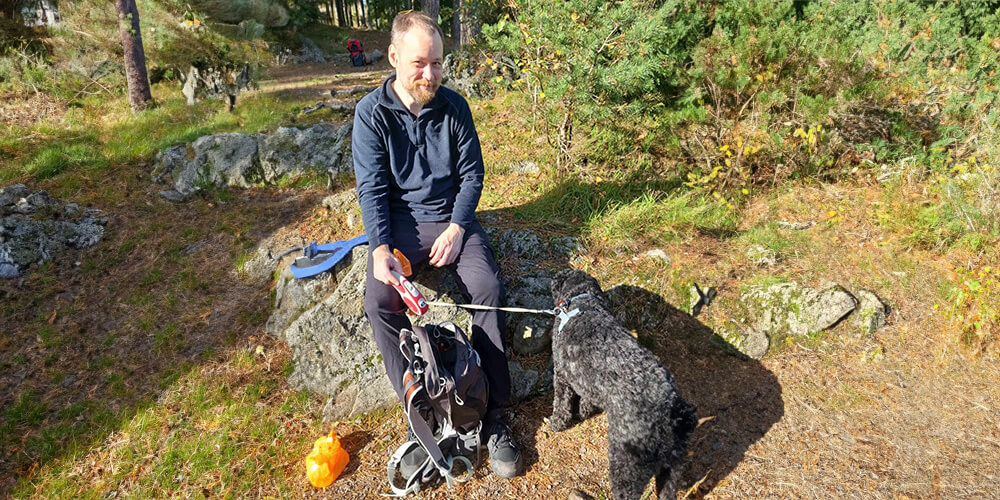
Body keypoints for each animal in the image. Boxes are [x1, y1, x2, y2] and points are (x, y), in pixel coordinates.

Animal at [548, 272, 696, 498]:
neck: (582, 301)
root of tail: (673, 414)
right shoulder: (587, 383)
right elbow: (587, 401)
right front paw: (584, 412)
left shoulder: (562, 375)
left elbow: (561, 405)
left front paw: (557, 423)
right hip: (672, 470)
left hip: (626, 466)